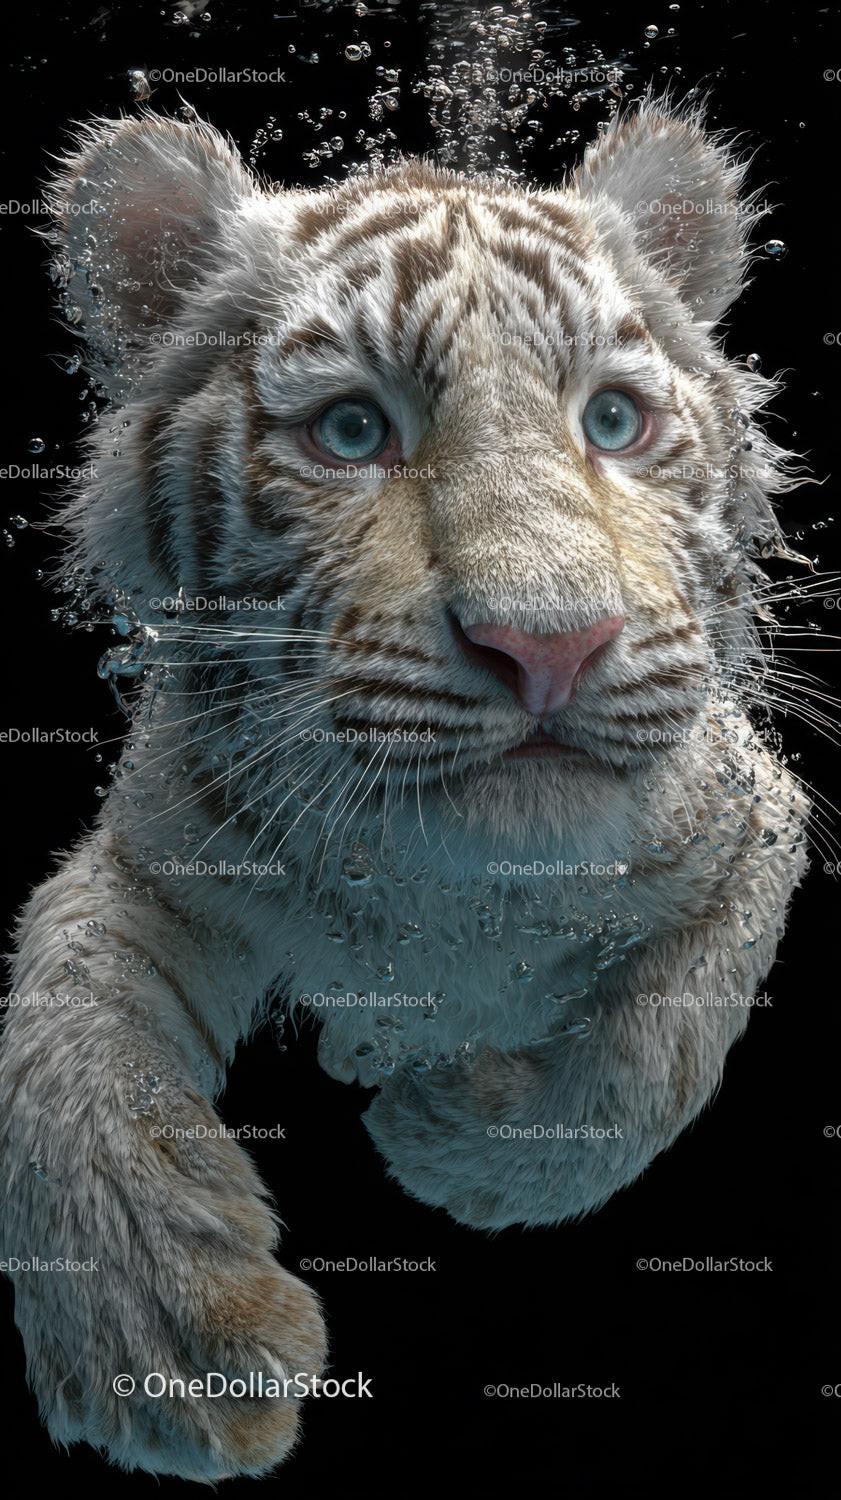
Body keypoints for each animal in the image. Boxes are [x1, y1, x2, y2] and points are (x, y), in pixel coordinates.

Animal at [0, 98, 809, 1479]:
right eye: (351, 432)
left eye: (612, 422)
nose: (550, 645)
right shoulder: (165, 850)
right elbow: (65, 1020)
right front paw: (162, 1332)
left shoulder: (751, 817)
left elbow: (658, 1040)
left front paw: (455, 1136)